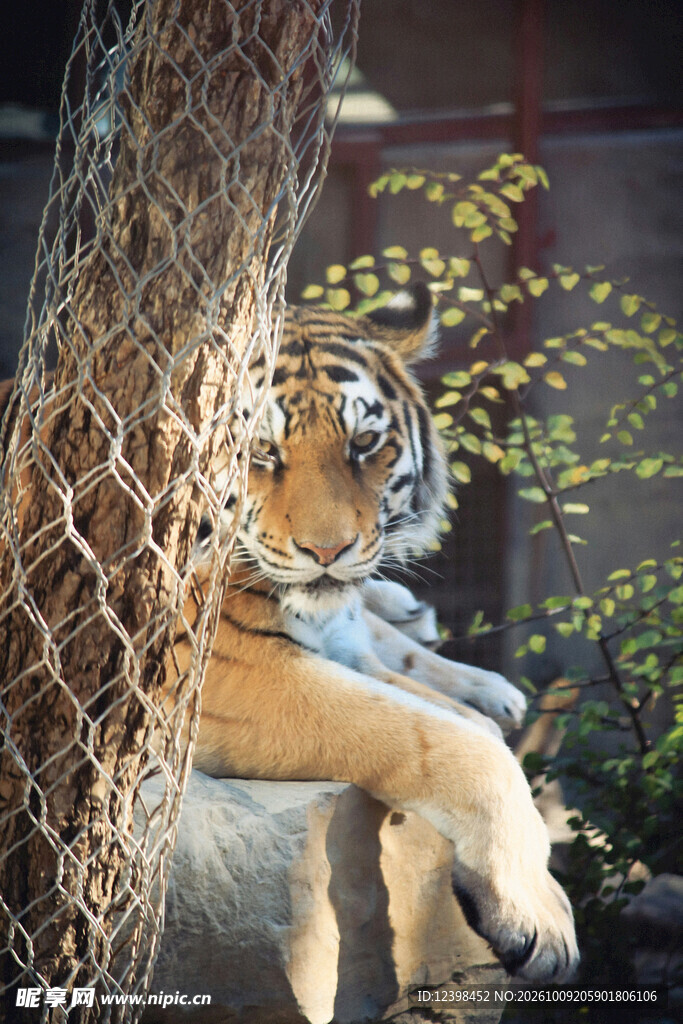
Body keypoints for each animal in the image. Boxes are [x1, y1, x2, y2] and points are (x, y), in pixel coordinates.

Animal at [164, 284, 579, 984]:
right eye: (260, 451)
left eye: (363, 443)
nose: (327, 551)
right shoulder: (228, 675)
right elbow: (455, 742)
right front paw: (538, 913)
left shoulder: (334, 643)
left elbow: (466, 726)